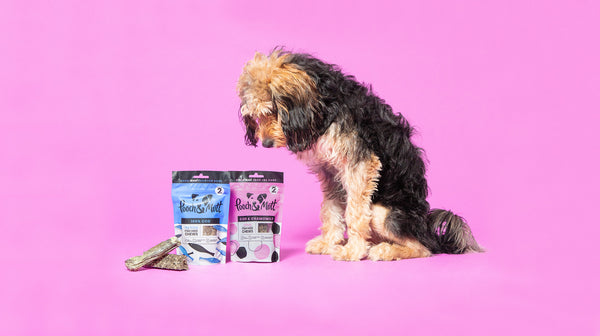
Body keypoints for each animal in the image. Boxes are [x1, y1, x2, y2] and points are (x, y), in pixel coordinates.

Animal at [234, 48, 482, 262]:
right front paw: (329, 242)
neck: (324, 106)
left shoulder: (360, 165)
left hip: (382, 212)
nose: (266, 144)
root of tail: (429, 229)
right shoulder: (330, 171)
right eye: (255, 116)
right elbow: (330, 209)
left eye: (273, 110)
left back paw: (384, 250)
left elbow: (354, 213)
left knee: (423, 248)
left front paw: (353, 250)